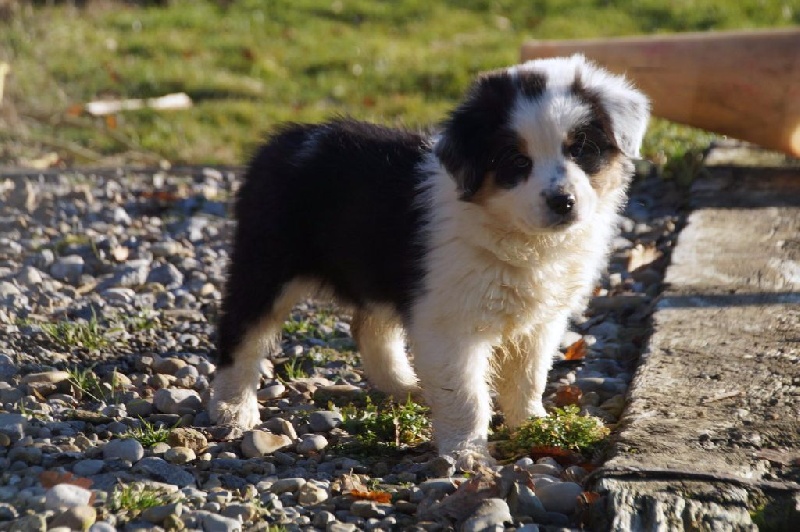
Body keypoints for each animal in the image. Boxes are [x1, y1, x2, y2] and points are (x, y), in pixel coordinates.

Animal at [208, 55, 649, 469]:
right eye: (517, 161)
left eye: (581, 150)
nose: (563, 202)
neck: (519, 237)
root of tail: (285, 141)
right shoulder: (449, 323)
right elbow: (467, 396)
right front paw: (469, 456)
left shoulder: (540, 322)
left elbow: (528, 379)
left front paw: (535, 428)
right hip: (266, 262)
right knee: (241, 334)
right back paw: (233, 411)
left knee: (369, 327)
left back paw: (408, 385)